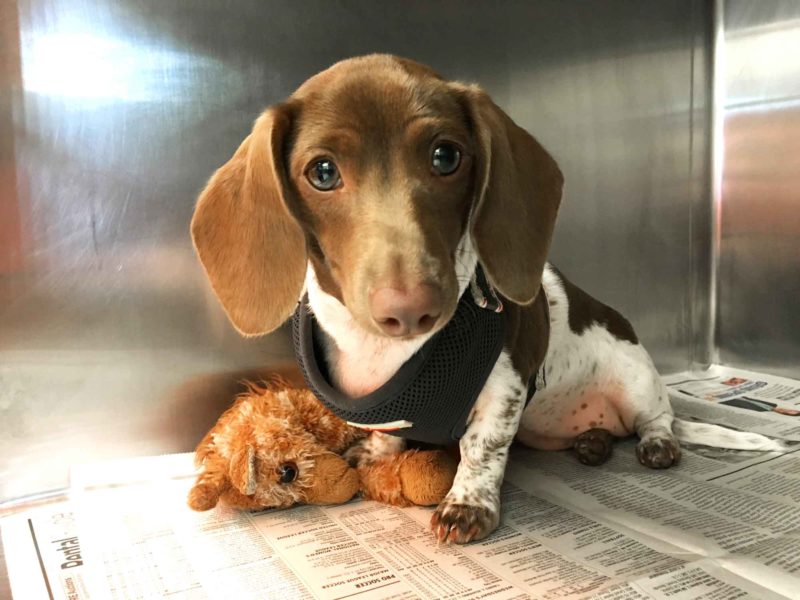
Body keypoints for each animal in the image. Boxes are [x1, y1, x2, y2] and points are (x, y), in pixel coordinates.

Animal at [191, 55, 784, 544]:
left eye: (445, 156)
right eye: (322, 171)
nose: (411, 308)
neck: (385, 354)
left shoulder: (506, 388)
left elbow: (481, 447)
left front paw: (467, 505)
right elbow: (389, 435)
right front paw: (375, 452)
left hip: (637, 378)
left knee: (655, 419)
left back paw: (657, 444)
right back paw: (592, 442)